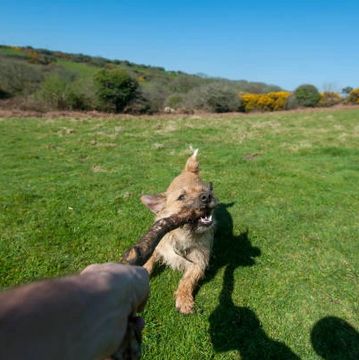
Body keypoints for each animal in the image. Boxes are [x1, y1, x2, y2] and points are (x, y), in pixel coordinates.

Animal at [142, 149, 218, 312]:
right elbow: (148, 261)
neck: (182, 235)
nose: (207, 196)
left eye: (205, 190)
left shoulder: (199, 262)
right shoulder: (158, 247)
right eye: (181, 197)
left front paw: (183, 299)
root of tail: (187, 171)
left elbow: (187, 280)